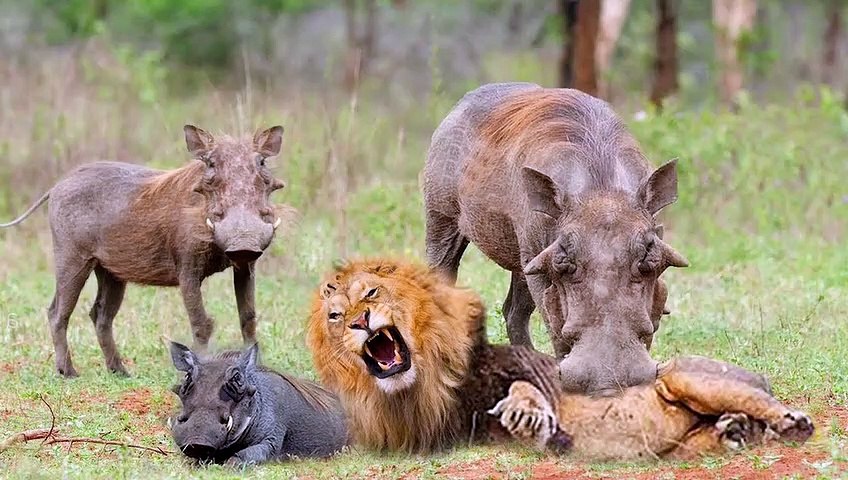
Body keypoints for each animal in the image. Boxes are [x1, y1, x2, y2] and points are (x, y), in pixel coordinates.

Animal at [307, 259, 814, 459]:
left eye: (373, 293)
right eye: (336, 314)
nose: (360, 321)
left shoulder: (536, 374)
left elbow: (523, 389)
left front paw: (529, 415)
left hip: (686, 377)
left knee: (764, 405)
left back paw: (790, 422)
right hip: (685, 440)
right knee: (730, 429)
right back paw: (736, 430)